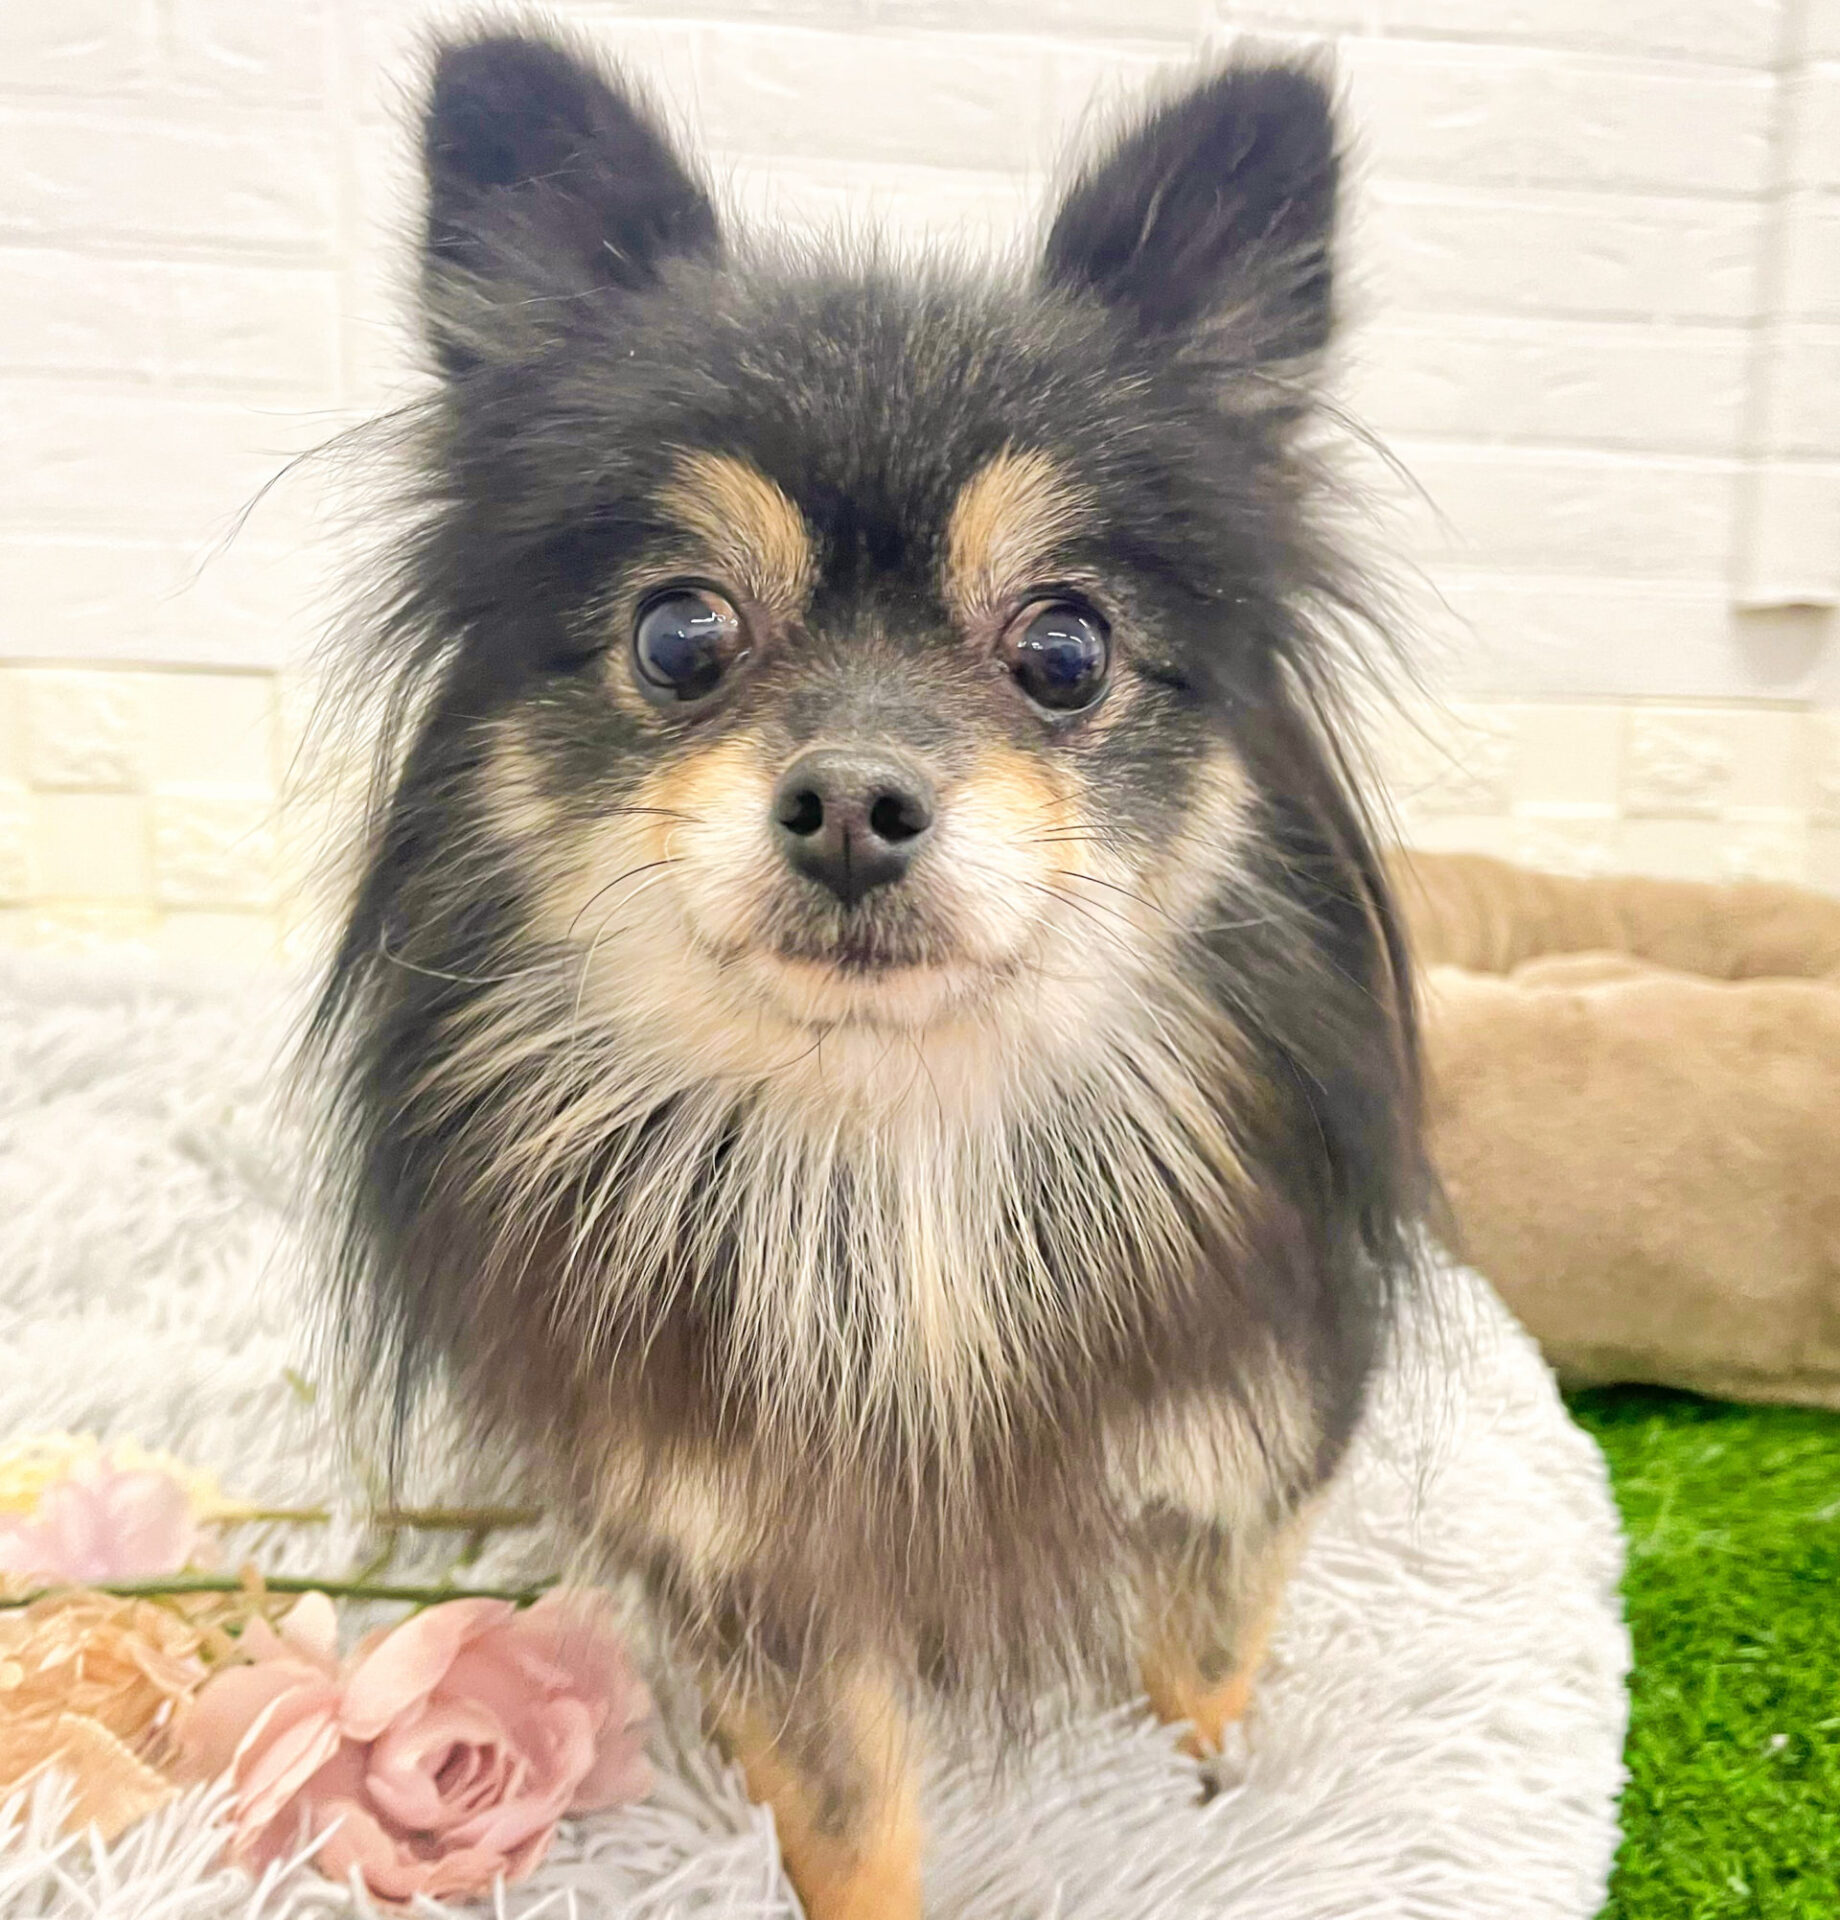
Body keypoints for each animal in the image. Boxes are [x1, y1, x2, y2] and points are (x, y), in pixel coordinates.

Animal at [310, 27, 1427, 1919]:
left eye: (1066, 649)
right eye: (680, 633)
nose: (850, 798)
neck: (892, 1163)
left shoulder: (1246, 1444)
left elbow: (1204, 1652)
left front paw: (1209, 1789)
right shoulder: (751, 1564)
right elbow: (845, 1810)